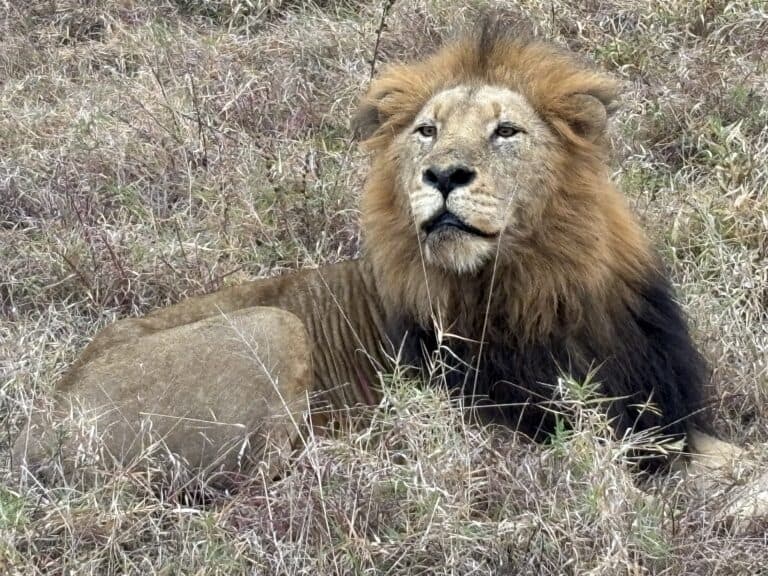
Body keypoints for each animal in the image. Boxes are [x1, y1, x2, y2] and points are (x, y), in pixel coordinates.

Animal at [13, 20, 767, 517]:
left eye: (506, 131)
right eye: (427, 131)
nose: (444, 175)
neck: (537, 287)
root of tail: (35, 429)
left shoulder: (659, 408)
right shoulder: (510, 437)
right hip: (271, 328)